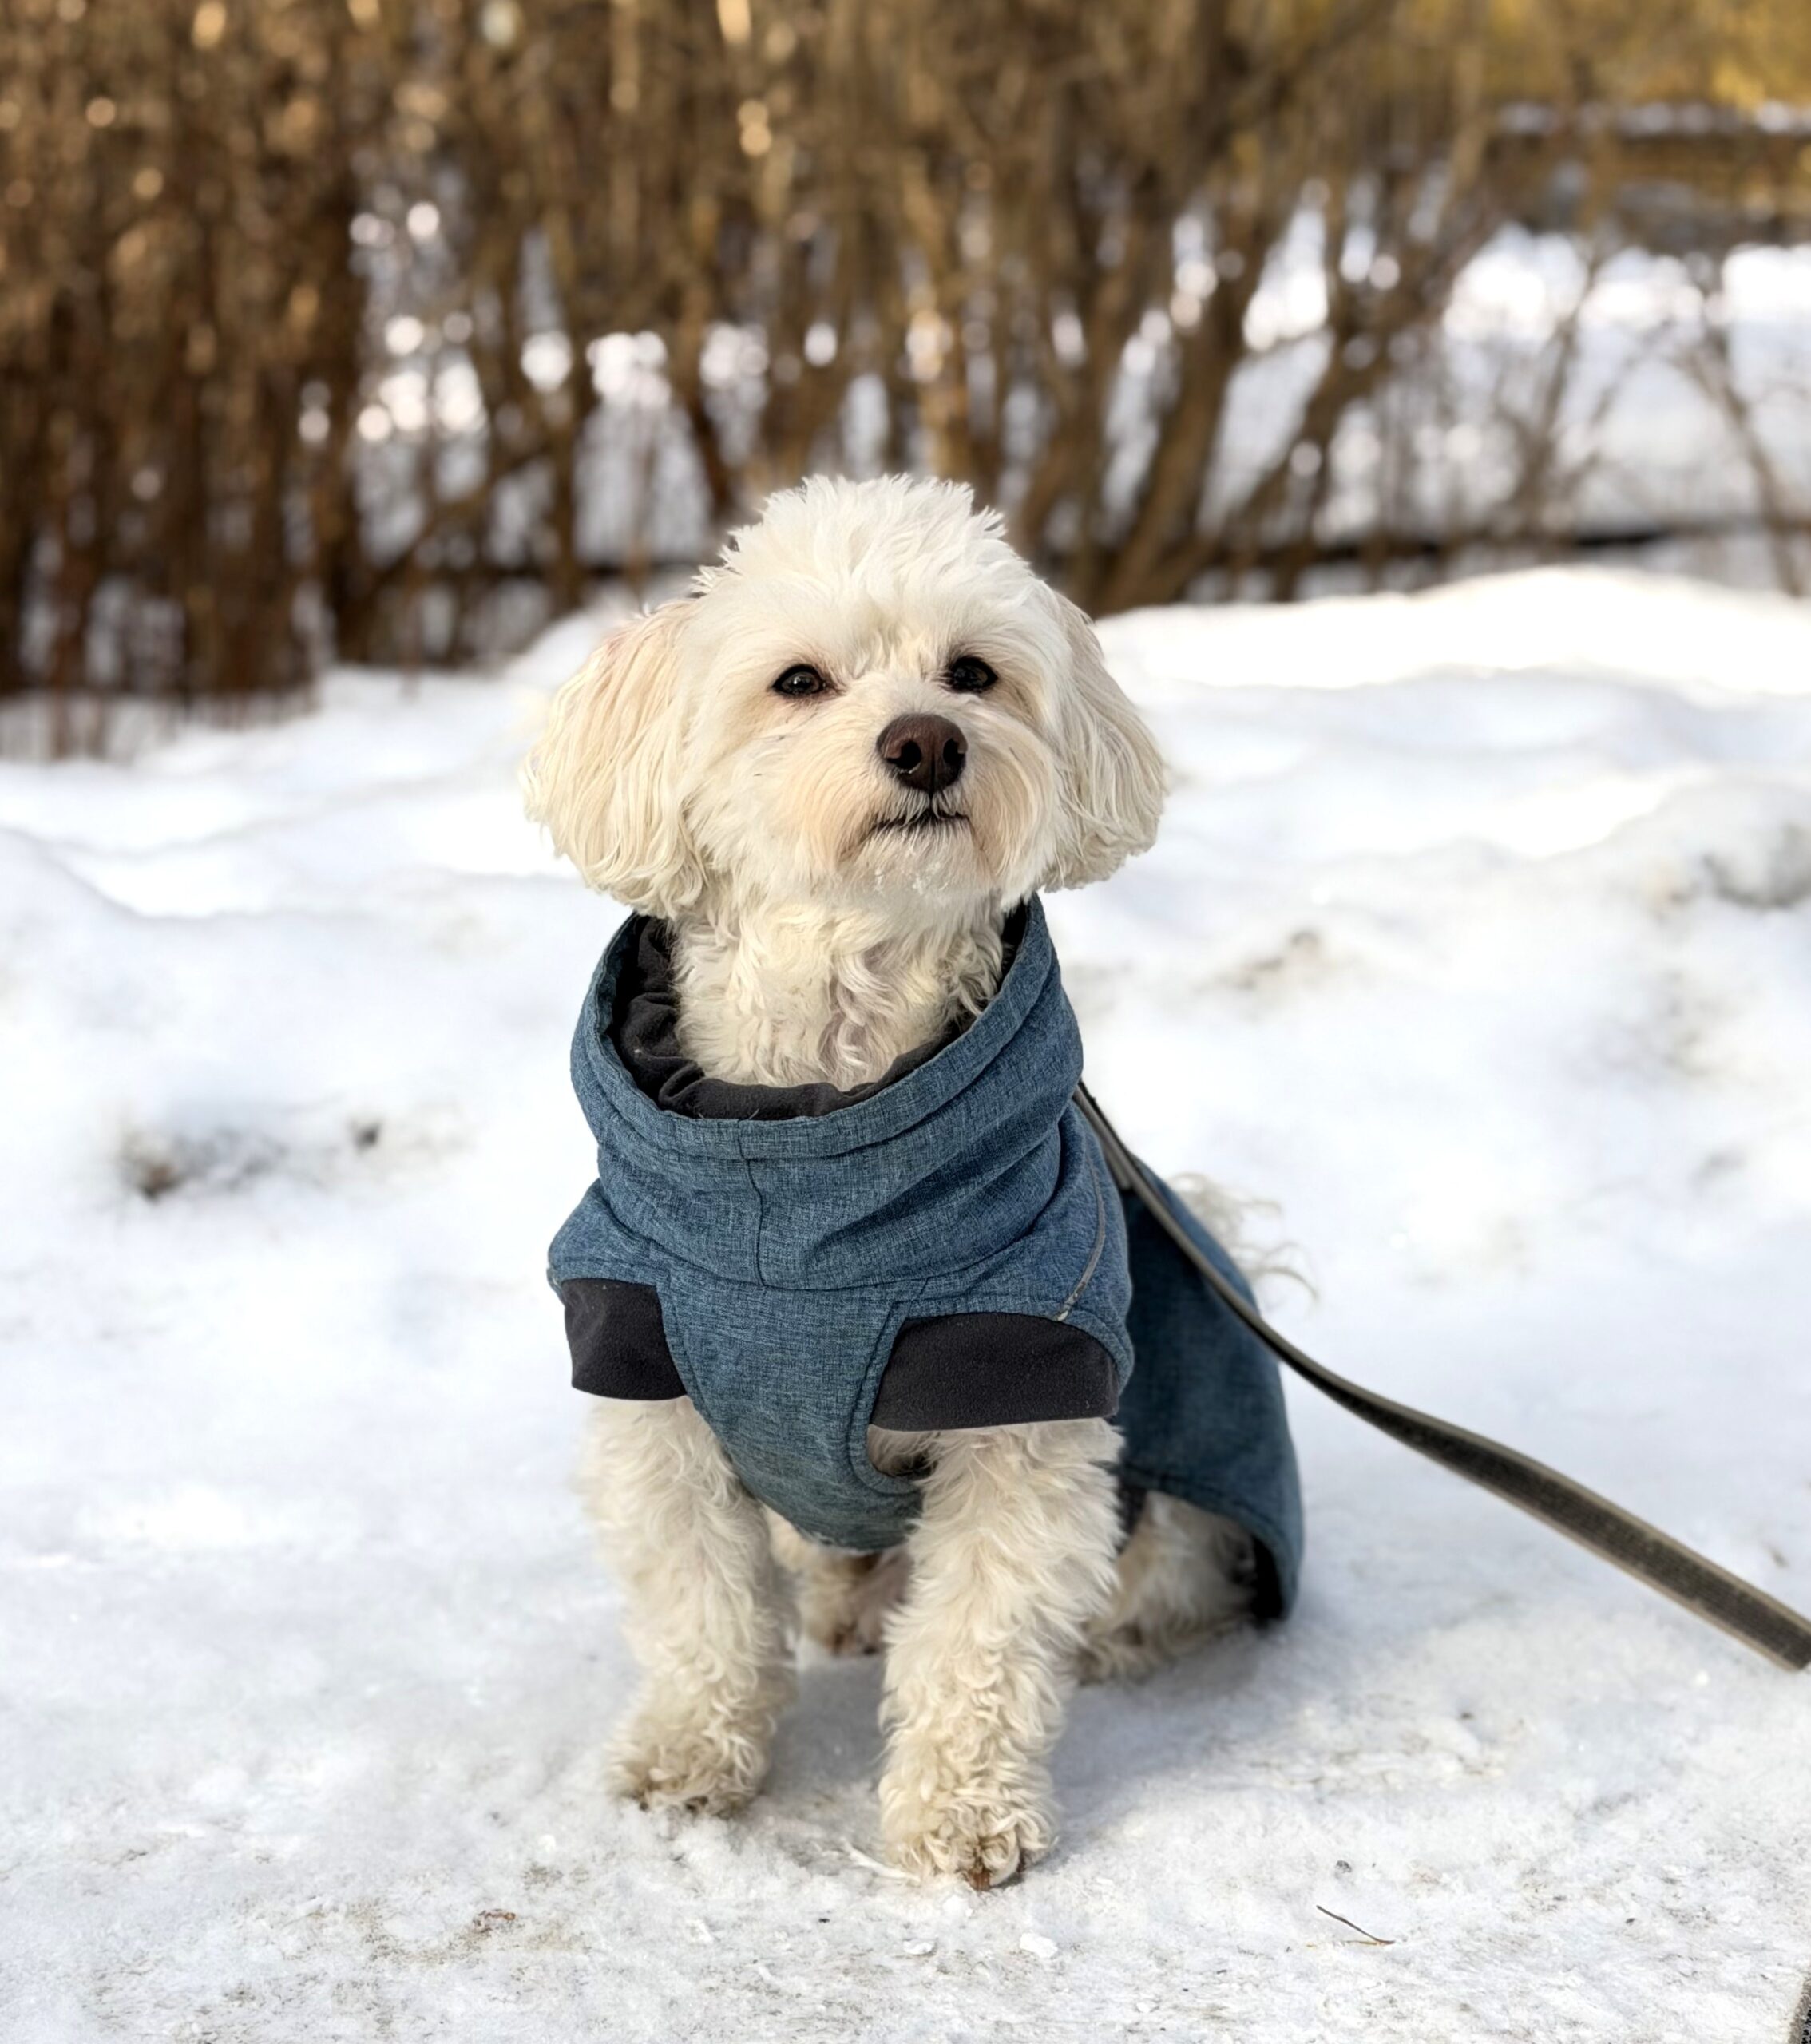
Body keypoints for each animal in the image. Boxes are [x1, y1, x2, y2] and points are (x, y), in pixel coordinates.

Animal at [524, 475, 1260, 1886]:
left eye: (972, 673)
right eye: (799, 681)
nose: (927, 743)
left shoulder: (1022, 1391)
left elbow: (980, 1635)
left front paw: (964, 1814)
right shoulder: (649, 1373)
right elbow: (702, 1606)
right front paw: (693, 1755)